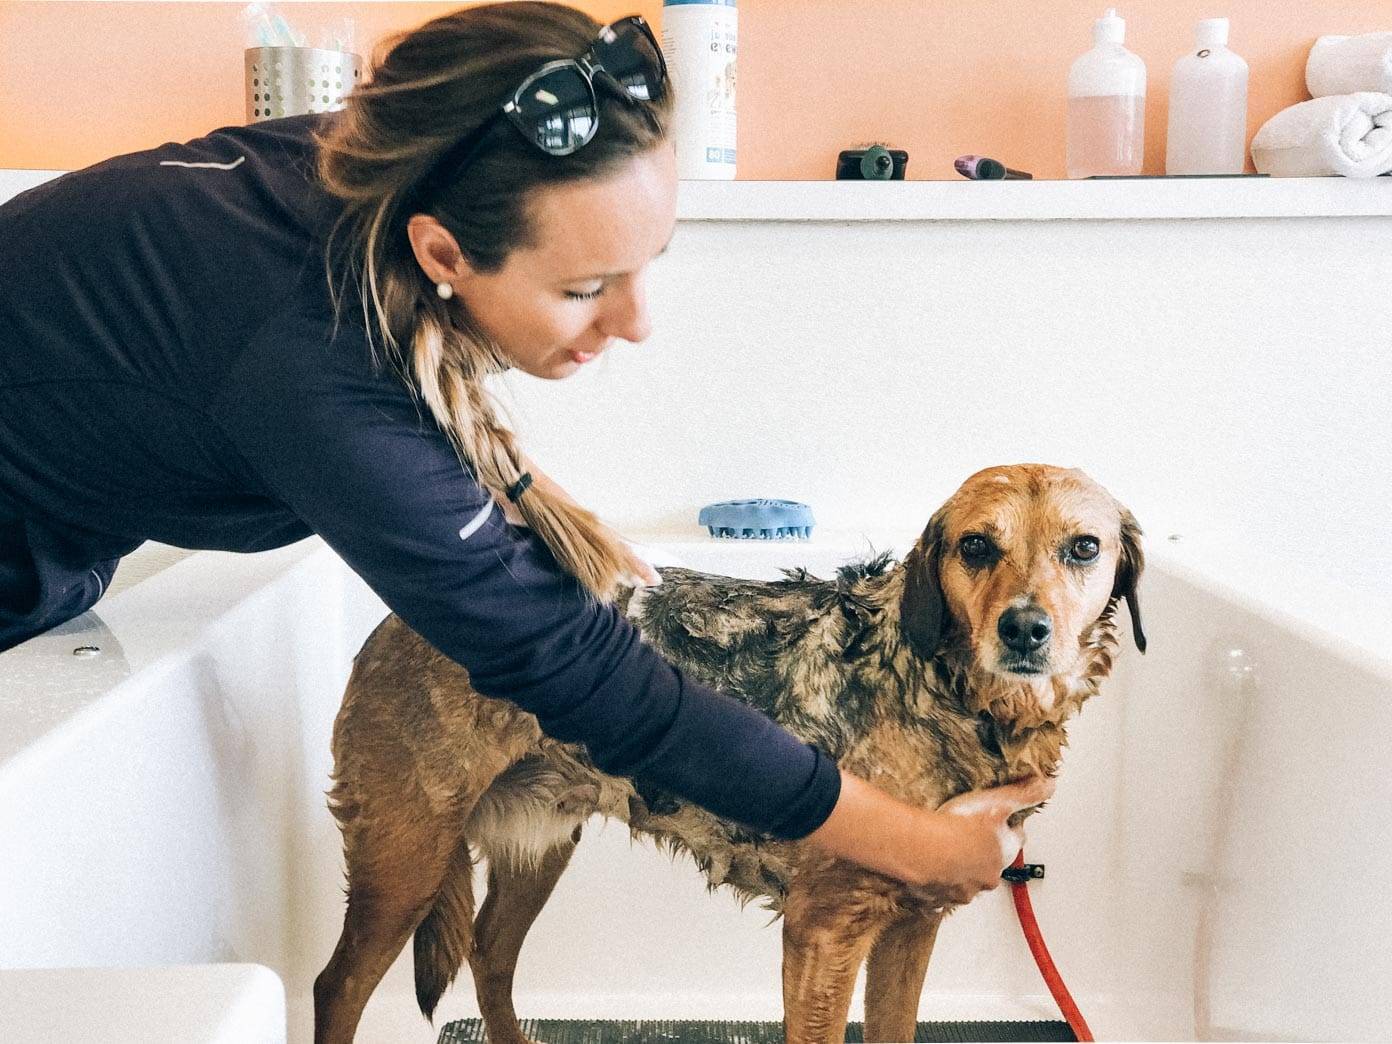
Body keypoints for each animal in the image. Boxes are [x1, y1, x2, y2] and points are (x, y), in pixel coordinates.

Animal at [313, 467, 1141, 1044]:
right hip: (405, 863)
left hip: (542, 843)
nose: (1024, 629)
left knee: (490, 954)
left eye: (1084, 548)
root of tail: (398, 617)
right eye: (976, 547)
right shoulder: (823, 935)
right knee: (336, 988)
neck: (945, 697)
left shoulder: (910, 930)